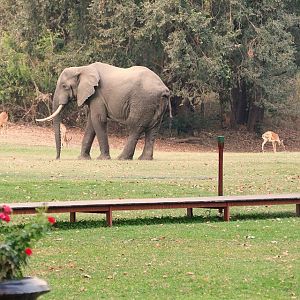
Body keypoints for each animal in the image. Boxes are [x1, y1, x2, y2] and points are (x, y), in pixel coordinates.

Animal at [36, 62, 170, 161]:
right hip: (155, 104)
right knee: (153, 130)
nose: (57, 158)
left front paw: (102, 158)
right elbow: (91, 123)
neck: (82, 68)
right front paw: (82, 158)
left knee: (135, 127)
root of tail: (163, 89)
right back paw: (144, 159)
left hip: (142, 102)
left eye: (64, 86)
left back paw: (122, 158)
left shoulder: (98, 95)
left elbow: (98, 120)